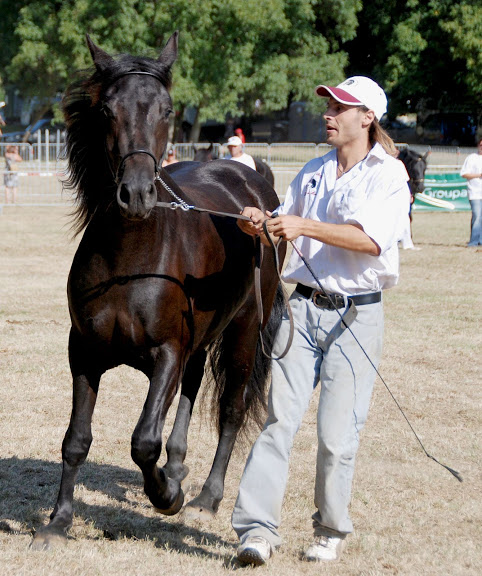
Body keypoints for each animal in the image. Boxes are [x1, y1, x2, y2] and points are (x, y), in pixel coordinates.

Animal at [32, 31, 284, 548]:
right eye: (107, 109)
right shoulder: (83, 352)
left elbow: (143, 439)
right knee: (191, 391)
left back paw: (205, 497)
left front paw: (166, 495)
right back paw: (179, 466)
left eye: (167, 109)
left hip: (243, 331)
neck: (129, 261)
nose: (136, 195)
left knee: (230, 410)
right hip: (202, 338)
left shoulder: (167, 352)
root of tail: (256, 186)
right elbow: (76, 440)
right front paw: (59, 521)